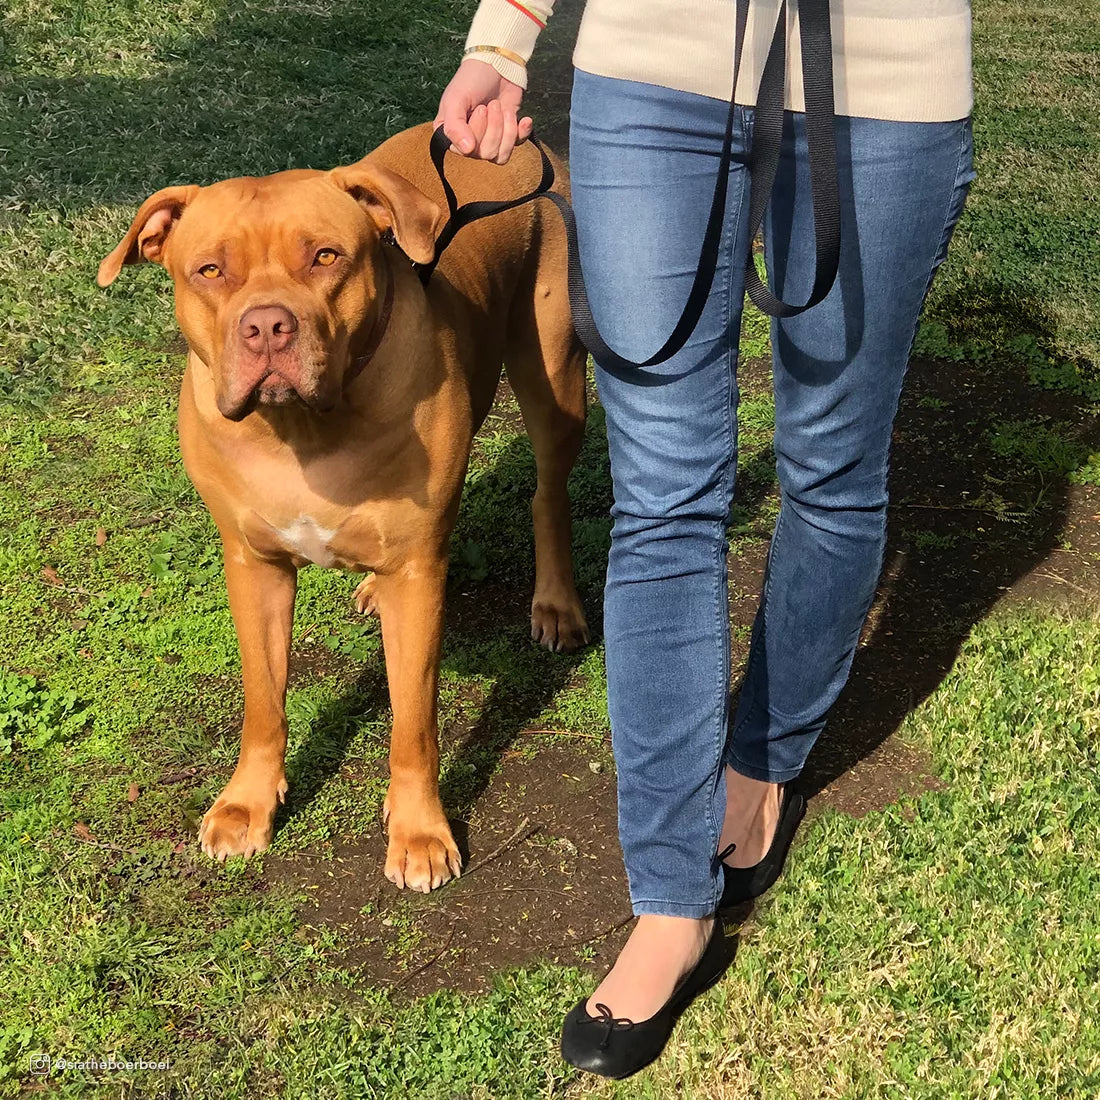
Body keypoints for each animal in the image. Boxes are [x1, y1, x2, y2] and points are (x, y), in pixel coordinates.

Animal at [99, 122, 589, 893]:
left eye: (326, 256)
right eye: (210, 271)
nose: (268, 327)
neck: (301, 430)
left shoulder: (418, 575)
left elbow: (414, 719)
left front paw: (419, 832)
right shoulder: (254, 565)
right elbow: (263, 699)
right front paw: (247, 804)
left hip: (554, 374)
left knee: (549, 494)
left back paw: (557, 604)